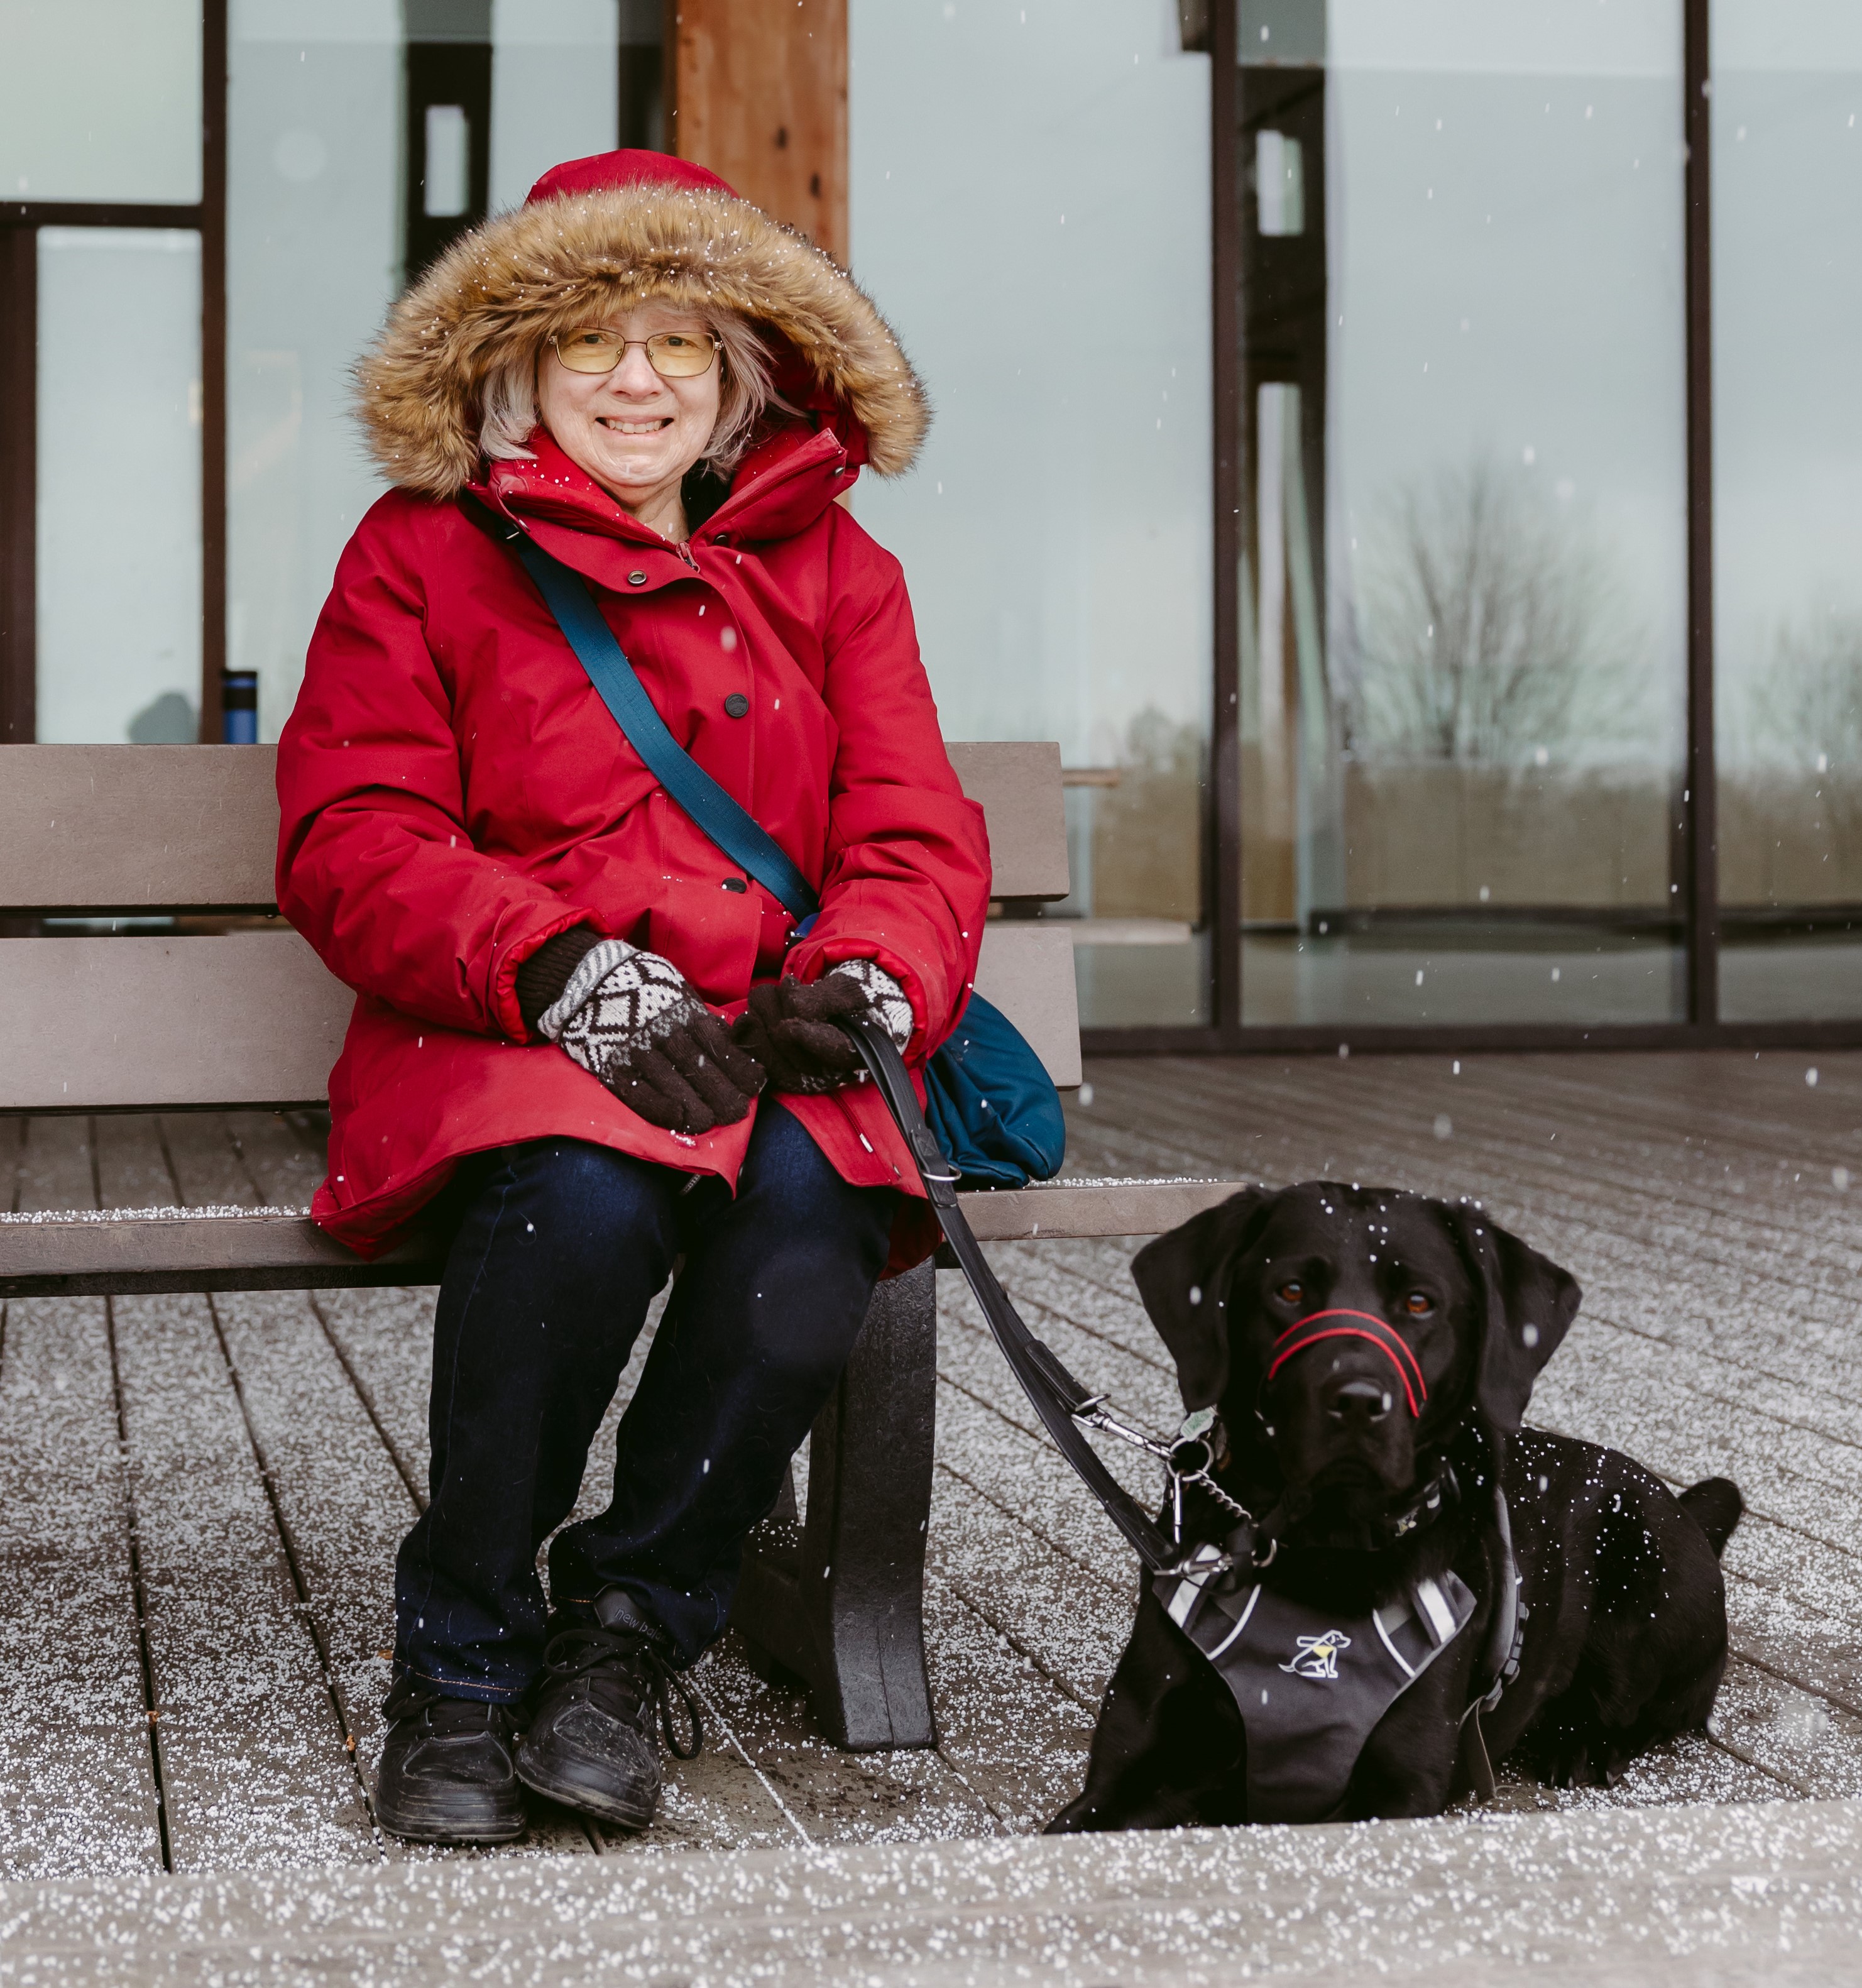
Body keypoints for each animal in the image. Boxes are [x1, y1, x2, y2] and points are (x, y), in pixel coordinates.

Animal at [1049, 1177, 1741, 1828]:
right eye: (1289, 1291)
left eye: (1418, 1302)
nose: (1357, 1401)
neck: (1322, 1554)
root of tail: (1687, 1510)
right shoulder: (1133, 1764)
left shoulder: (1399, 1784)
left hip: (1648, 1574)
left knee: (1661, 1708)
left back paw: (1582, 1742)